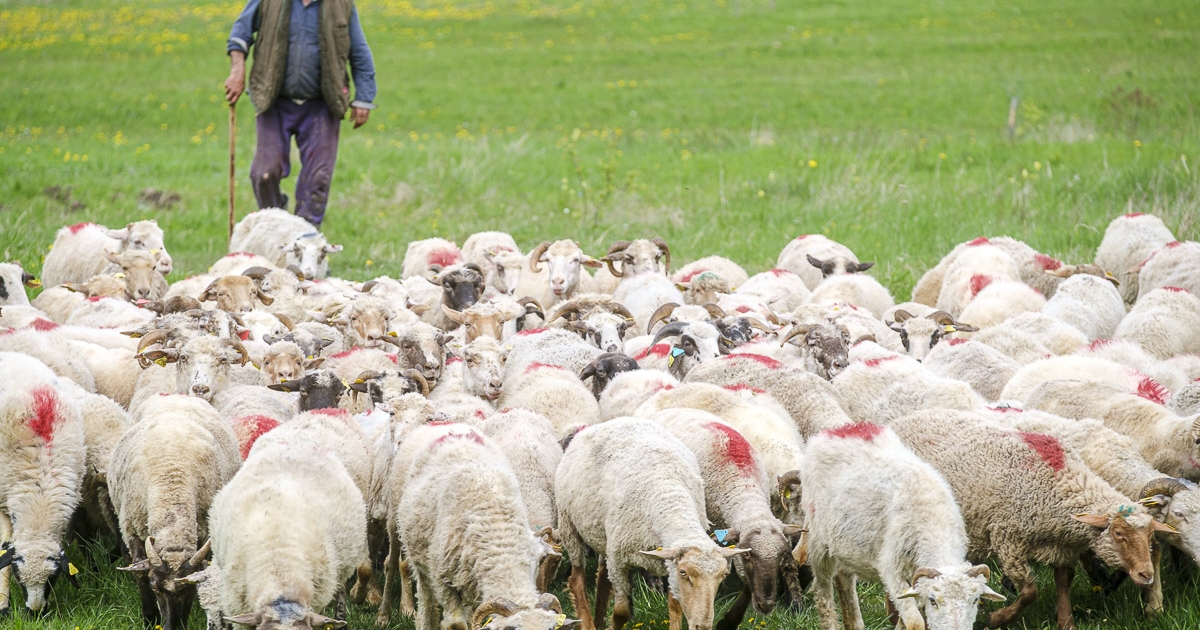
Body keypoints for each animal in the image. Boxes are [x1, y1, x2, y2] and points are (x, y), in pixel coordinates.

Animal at [801, 420, 1008, 630]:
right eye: (933, 600)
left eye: (975, 600)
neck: (934, 522)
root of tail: (843, 428)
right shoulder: (893, 569)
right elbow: (915, 622)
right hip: (817, 537)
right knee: (822, 588)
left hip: (846, 545)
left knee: (845, 578)